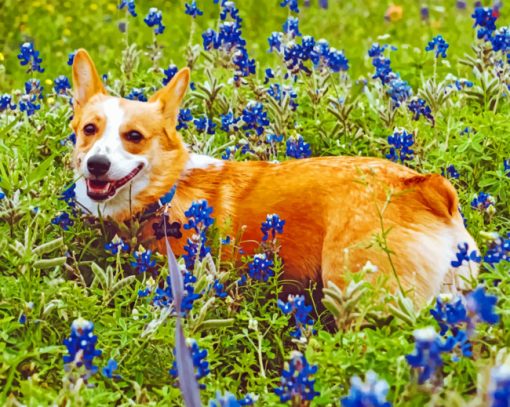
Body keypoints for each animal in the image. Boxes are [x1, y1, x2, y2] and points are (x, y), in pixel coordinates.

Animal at [70, 48, 478, 302]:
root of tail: (426, 187)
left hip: (358, 287)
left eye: (134, 137)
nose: (97, 165)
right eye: (89, 129)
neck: (165, 191)